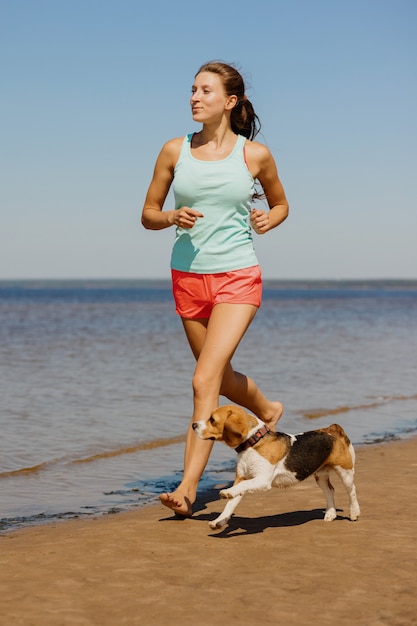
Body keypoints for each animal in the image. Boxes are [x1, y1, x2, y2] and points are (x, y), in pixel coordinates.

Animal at [192, 402, 358, 528]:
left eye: (212, 419)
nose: (193, 425)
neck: (253, 442)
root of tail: (332, 429)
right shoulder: (241, 478)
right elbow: (230, 504)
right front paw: (219, 521)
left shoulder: (262, 480)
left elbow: (241, 488)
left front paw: (227, 492)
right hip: (320, 475)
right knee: (330, 490)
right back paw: (330, 513)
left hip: (345, 472)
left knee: (351, 491)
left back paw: (354, 512)